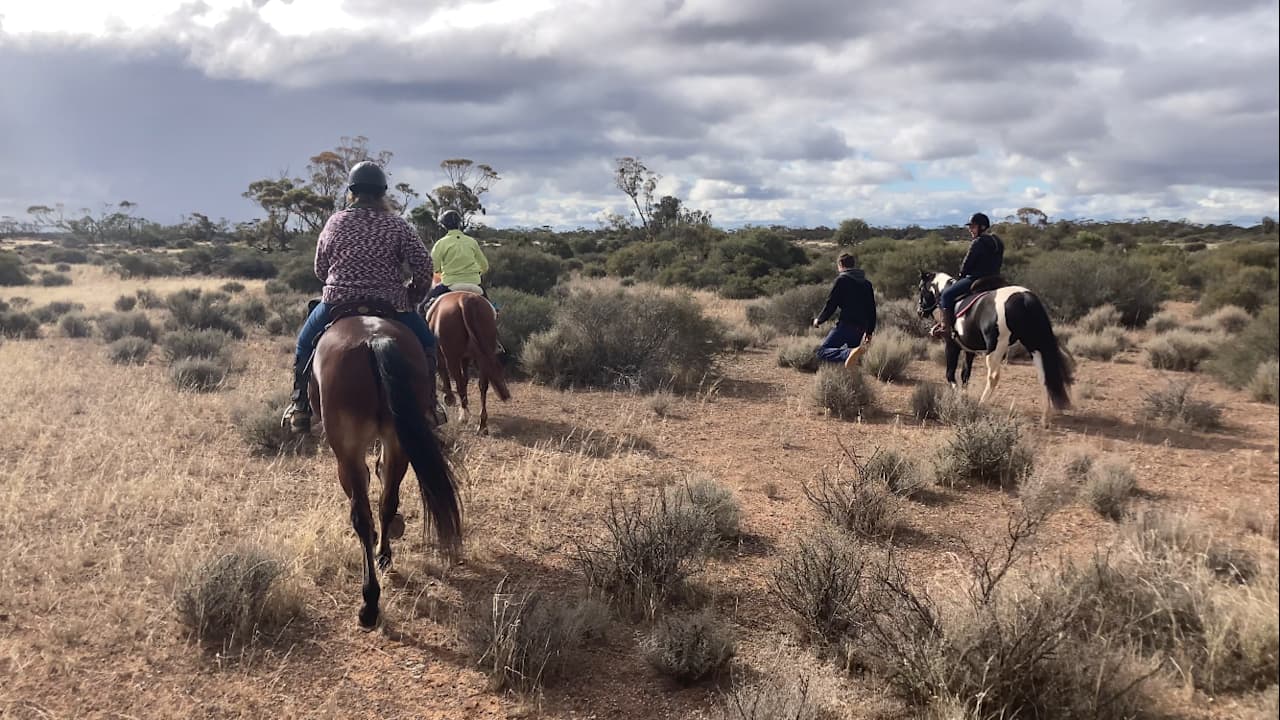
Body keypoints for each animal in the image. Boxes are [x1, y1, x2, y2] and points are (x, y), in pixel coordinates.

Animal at [312, 313, 463, 622]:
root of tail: (374, 340)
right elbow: (381, 478)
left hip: (348, 451)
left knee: (362, 515)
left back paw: (369, 603)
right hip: (398, 441)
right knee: (387, 501)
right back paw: (383, 555)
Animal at [427, 289, 512, 430]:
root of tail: (465, 301)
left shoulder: (443, 356)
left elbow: (446, 373)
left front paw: (449, 398)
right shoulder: (466, 357)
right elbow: (466, 379)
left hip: (453, 357)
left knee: (459, 382)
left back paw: (464, 416)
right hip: (482, 356)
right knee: (482, 385)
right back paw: (482, 424)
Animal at [916, 271, 1075, 422]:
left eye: (921, 288)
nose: (919, 311)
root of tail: (1024, 297)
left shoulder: (951, 346)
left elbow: (950, 374)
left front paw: (958, 398)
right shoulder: (969, 350)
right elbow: (965, 375)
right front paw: (964, 398)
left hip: (996, 348)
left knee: (993, 376)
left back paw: (981, 404)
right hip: (1034, 345)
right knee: (1043, 375)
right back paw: (1045, 417)